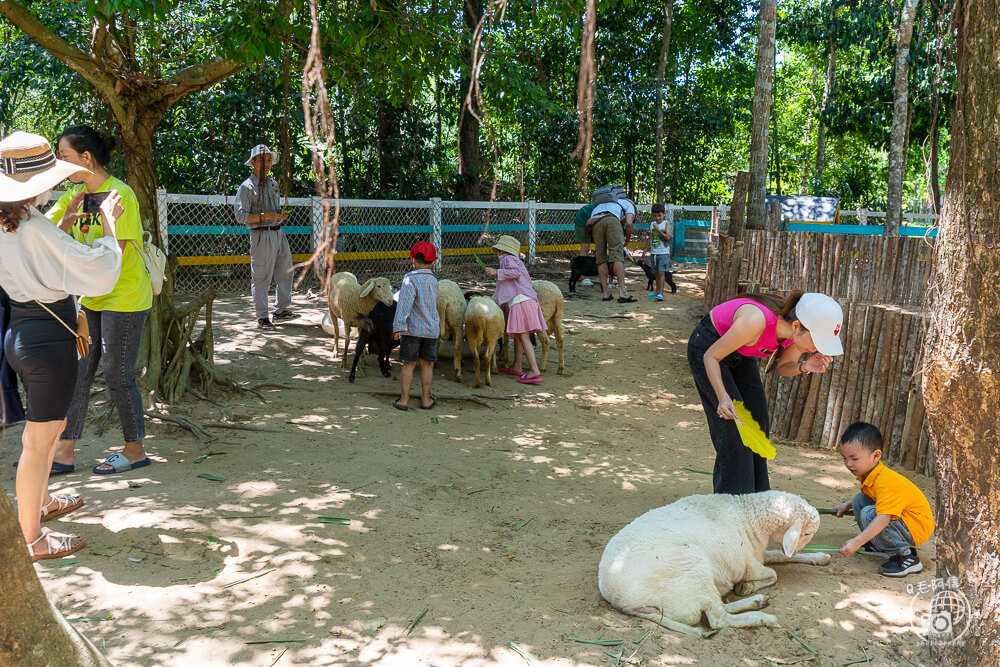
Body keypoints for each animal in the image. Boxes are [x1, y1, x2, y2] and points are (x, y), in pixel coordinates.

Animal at [600, 490, 828, 636]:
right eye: (806, 533)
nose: (795, 549)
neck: (751, 518)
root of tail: (622, 602)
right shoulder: (749, 564)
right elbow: (774, 574)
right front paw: (747, 586)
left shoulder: (757, 555)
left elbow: (778, 557)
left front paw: (820, 557)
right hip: (693, 567)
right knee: (719, 619)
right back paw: (763, 617)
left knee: (720, 609)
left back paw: (757, 601)